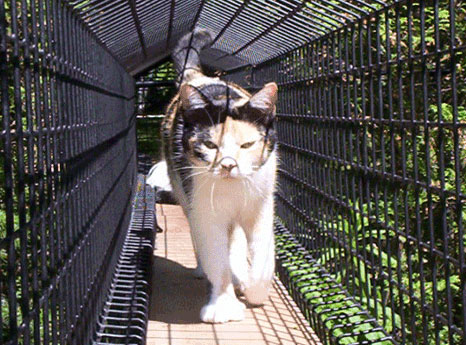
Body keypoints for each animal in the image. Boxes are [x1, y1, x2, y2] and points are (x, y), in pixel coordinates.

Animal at [161, 29, 276, 322]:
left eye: (247, 145)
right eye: (210, 145)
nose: (227, 165)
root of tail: (197, 78)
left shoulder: (260, 208)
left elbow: (263, 257)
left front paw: (255, 289)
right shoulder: (206, 213)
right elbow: (217, 258)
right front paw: (224, 304)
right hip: (186, 197)